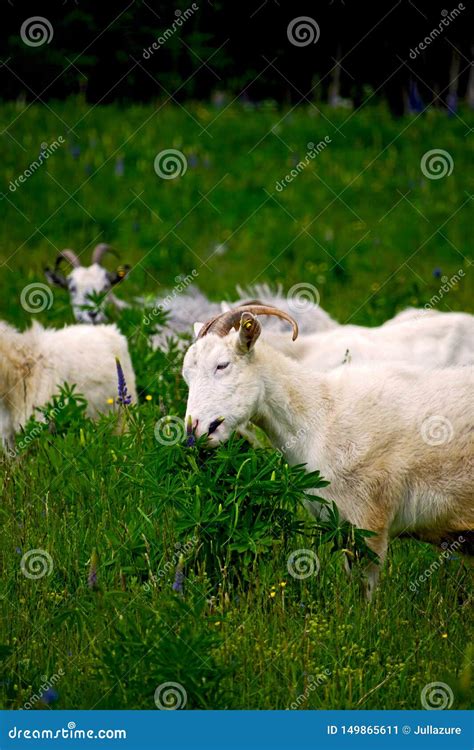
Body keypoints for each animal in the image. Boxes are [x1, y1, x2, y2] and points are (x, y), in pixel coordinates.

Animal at [182, 308, 474, 596]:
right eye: (187, 375)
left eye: (222, 365)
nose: (193, 429)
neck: (320, 414)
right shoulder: (340, 525)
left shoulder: (370, 519)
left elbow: (367, 588)